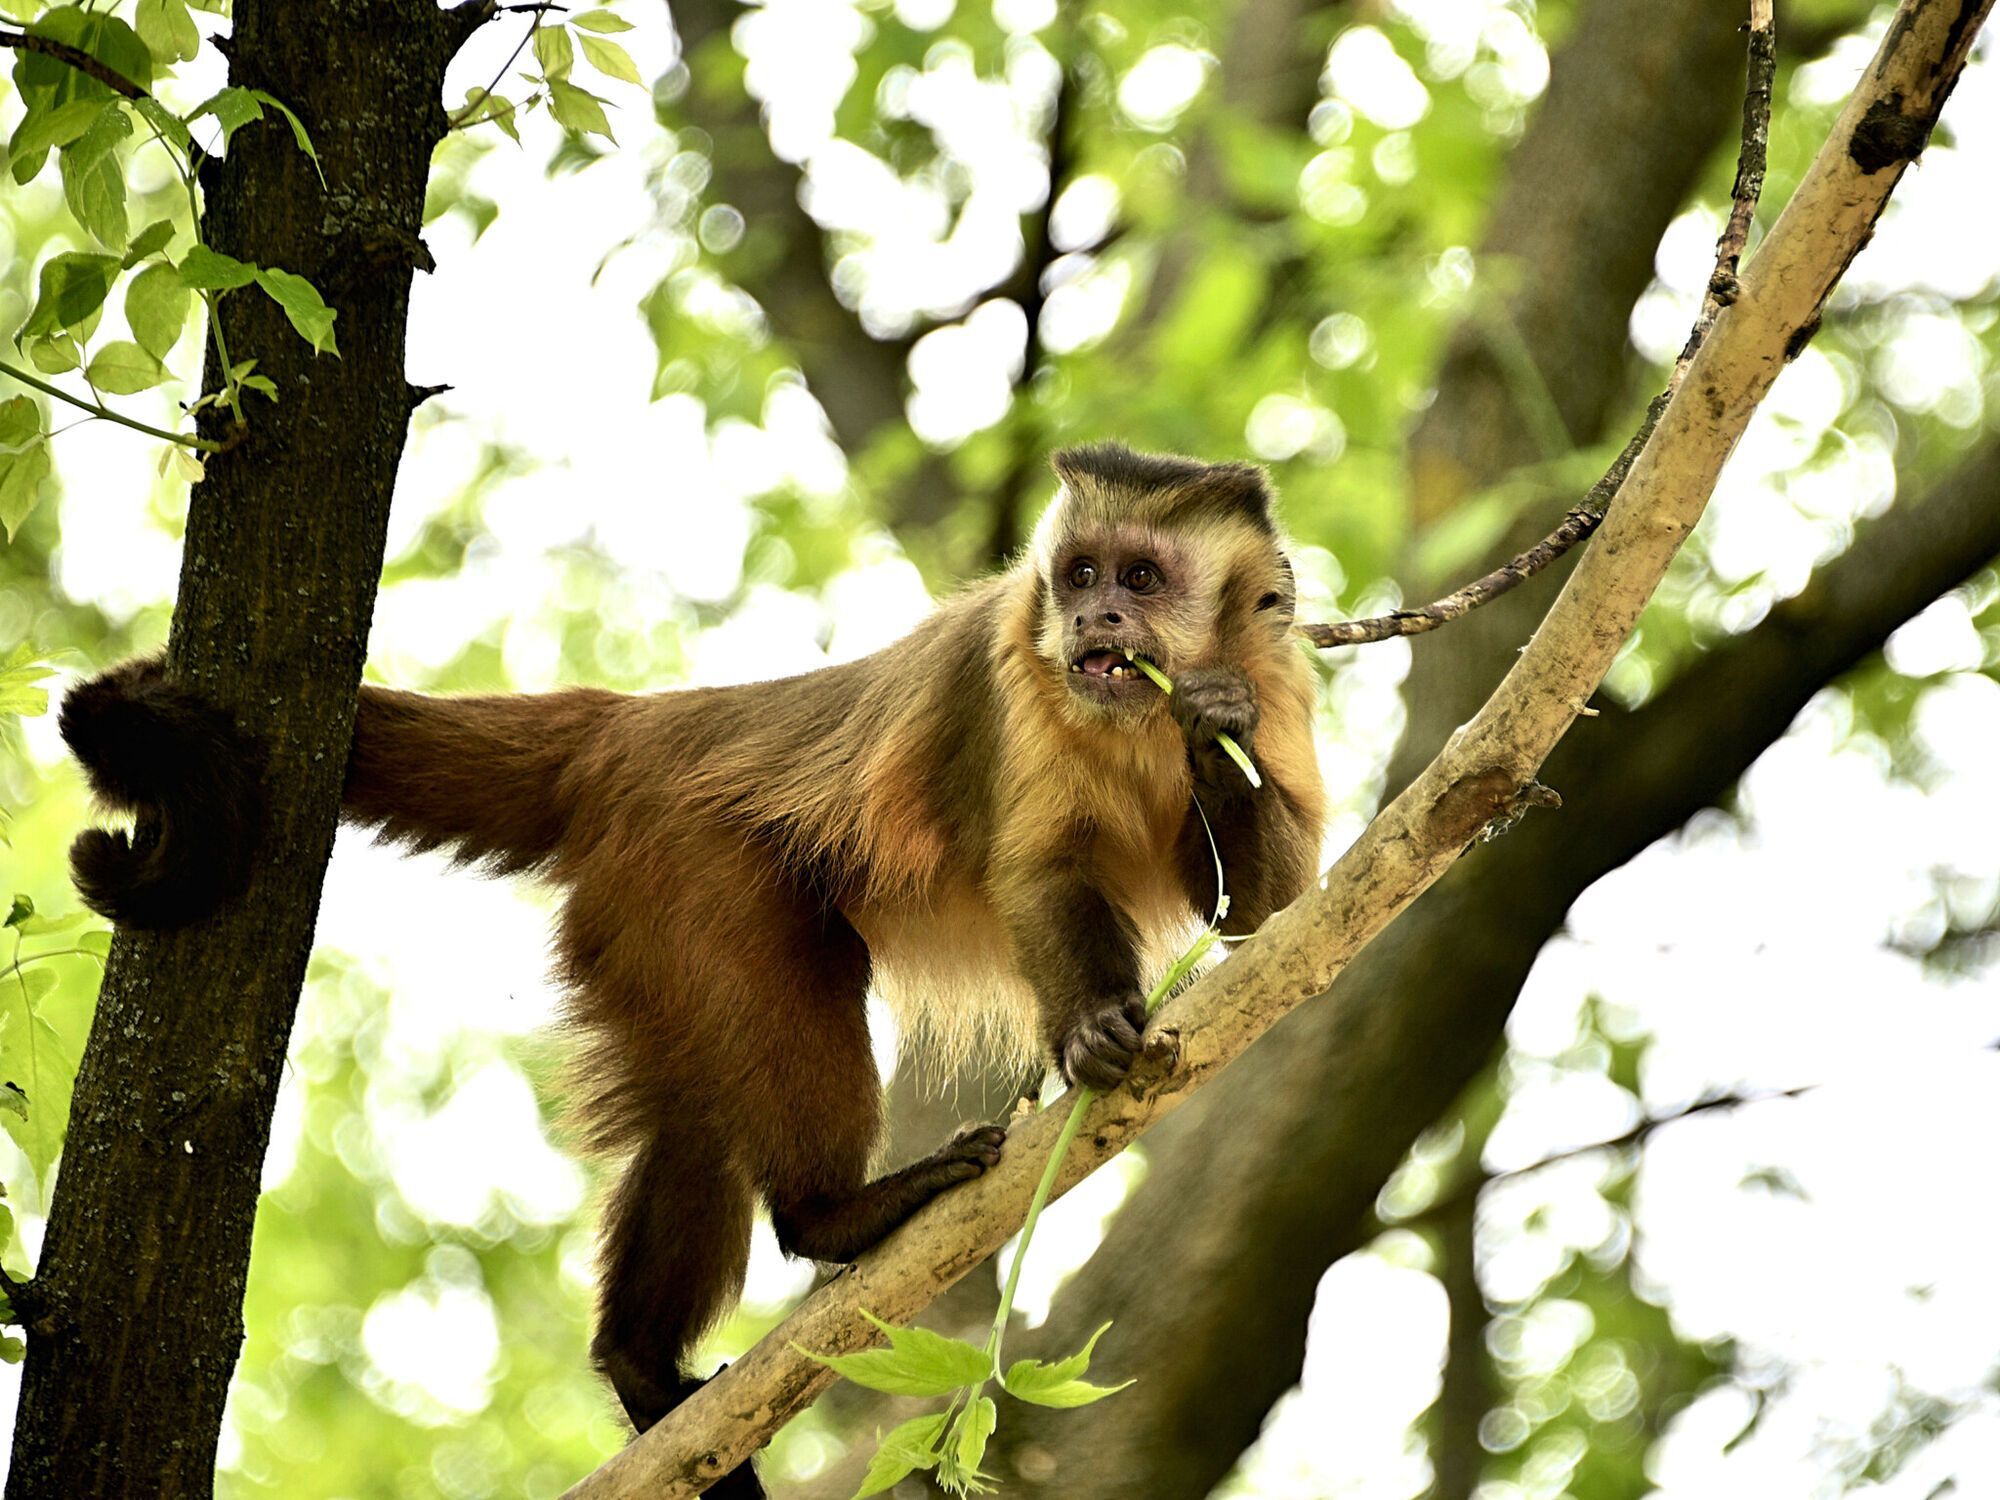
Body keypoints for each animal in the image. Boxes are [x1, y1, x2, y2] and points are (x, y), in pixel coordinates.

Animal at [58, 440, 1328, 1496]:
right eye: (1077, 574)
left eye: (1142, 578)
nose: (1096, 612)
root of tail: (634, 725)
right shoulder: (1011, 666)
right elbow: (1039, 876)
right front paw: (1093, 1034)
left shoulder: (1283, 680)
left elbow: (1268, 917)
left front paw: (1209, 723)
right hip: (687, 860)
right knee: (789, 1010)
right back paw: (837, 1218)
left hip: (634, 911)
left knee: (695, 1119)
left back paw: (643, 1369)